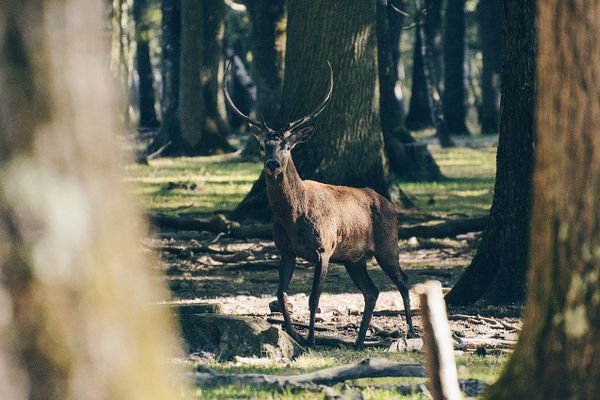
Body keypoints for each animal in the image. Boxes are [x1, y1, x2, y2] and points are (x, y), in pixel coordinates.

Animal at [223, 62, 414, 346]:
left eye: (287, 146)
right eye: (261, 146)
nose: (273, 164)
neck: (293, 218)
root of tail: (390, 204)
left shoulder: (324, 248)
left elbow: (314, 299)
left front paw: (311, 339)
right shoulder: (286, 250)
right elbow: (281, 294)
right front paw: (293, 334)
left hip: (387, 245)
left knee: (403, 280)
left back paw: (410, 333)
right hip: (354, 259)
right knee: (372, 291)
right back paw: (359, 341)